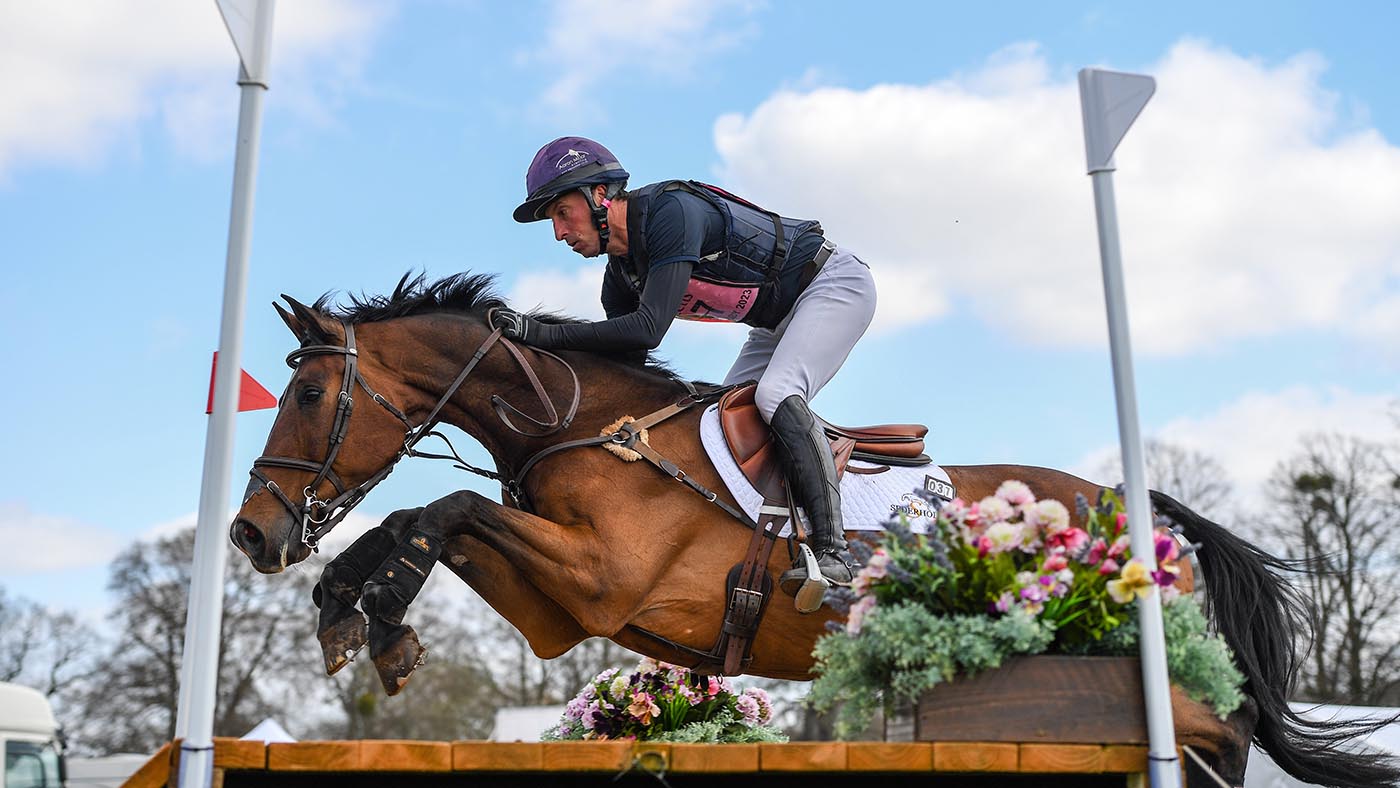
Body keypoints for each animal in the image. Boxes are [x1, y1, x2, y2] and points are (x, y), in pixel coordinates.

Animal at [230, 272, 1395, 788]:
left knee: (1219, 734)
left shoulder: (604, 577)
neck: (580, 423)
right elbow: (428, 515)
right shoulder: (562, 608)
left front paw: (375, 618)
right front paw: (351, 615)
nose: (249, 534)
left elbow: (444, 507)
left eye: (305, 398)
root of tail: (1149, 517)